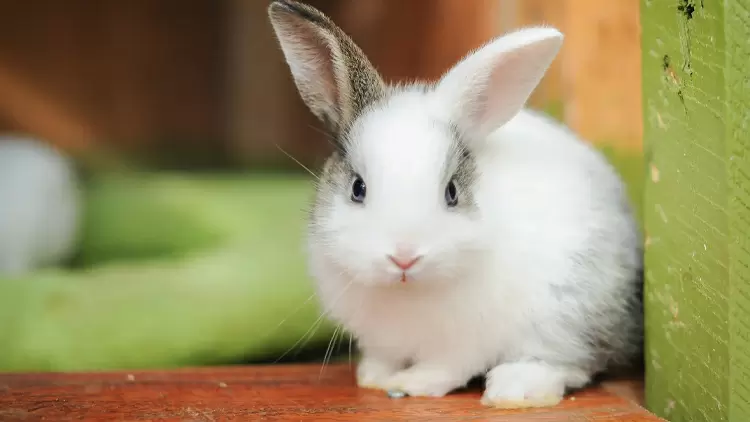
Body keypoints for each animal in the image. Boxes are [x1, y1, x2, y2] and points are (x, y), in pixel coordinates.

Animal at [268, 0, 643, 409]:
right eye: (358, 188)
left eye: (451, 192)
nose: (404, 257)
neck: (408, 292)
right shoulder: (381, 340)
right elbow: (384, 358)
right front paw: (373, 378)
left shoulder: (466, 343)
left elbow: (446, 368)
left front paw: (411, 384)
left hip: (567, 312)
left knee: (568, 362)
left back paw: (514, 390)